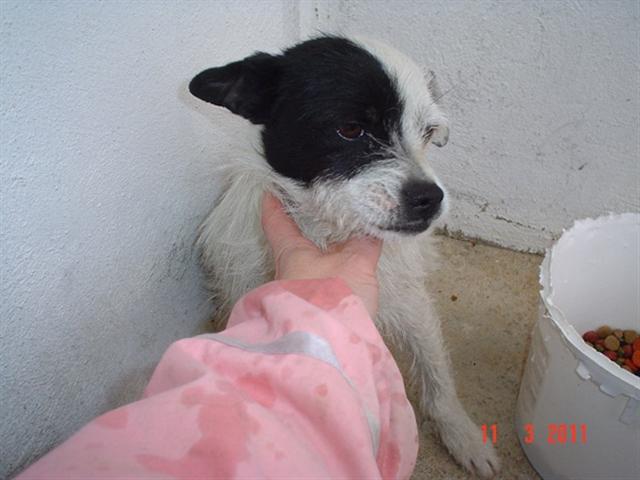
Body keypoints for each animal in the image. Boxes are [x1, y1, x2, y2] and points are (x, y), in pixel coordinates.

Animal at [189, 35, 499, 478]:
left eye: (428, 131)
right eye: (351, 129)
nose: (431, 198)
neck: (327, 233)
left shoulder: (410, 304)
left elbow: (435, 372)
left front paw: (462, 434)